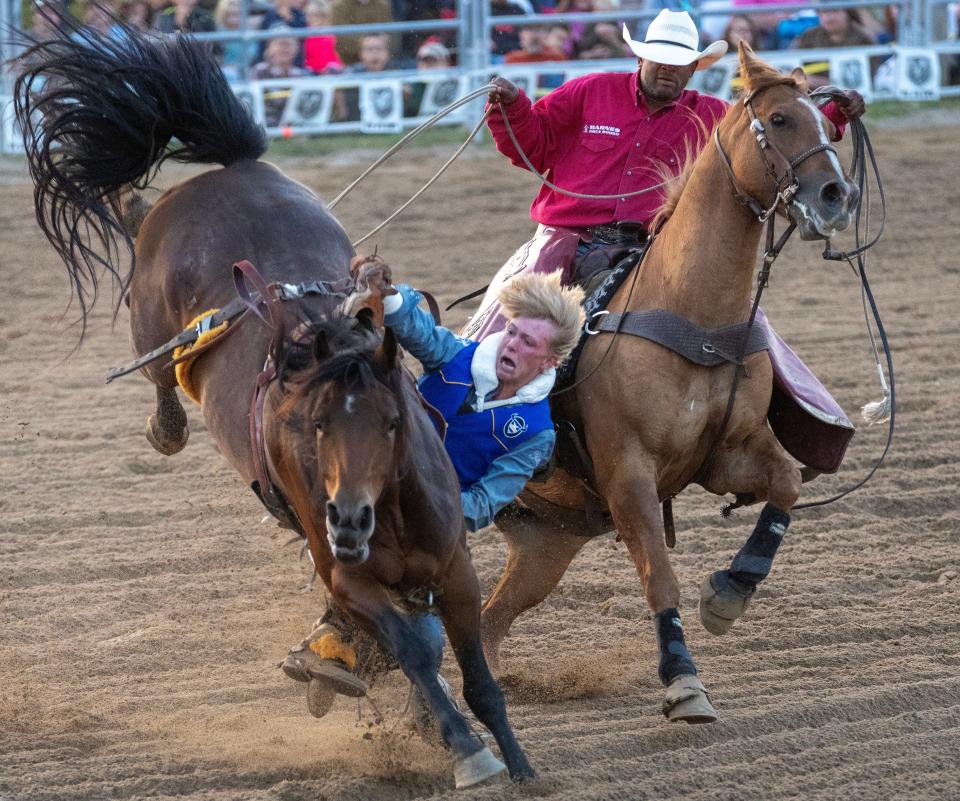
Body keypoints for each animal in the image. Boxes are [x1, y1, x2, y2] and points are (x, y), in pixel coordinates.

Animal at [11, 18, 532, 788]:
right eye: (313, 425)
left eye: (392, 422)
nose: (348, 518)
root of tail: (233, 169)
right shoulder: (348, 578)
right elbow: (414, 650)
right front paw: (465, 748)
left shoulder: (456, 572)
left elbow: (474, 671)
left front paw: (515, 757)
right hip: (150, 322)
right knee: (161, 370)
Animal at [472, 47, 864, 720]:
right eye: (780, 119)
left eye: (829, 125)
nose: (838, 195)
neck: (691, 314)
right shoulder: (629, 476)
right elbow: (660, 575)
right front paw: (683, 680)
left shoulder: (726, 456)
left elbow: (786, 485)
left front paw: (729, 592)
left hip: (545, 542)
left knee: (487, 619)